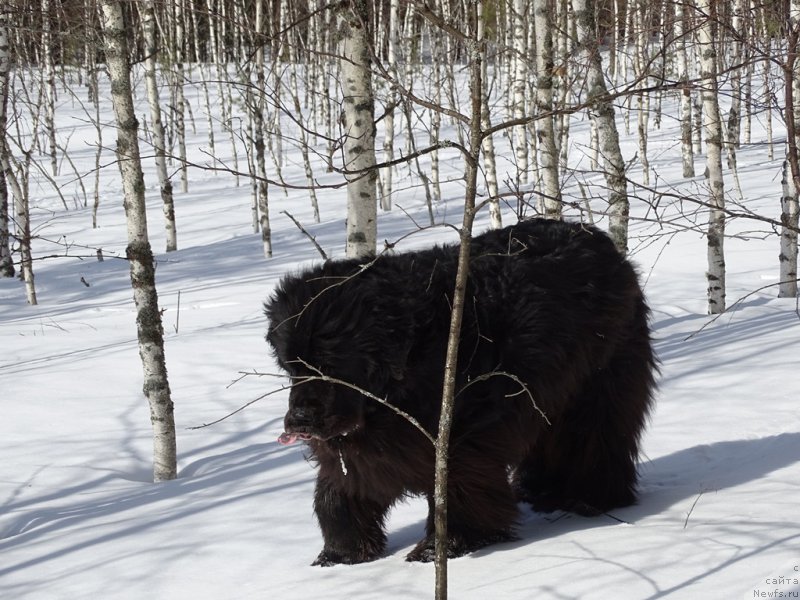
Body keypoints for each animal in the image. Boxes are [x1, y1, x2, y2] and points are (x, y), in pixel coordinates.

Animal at [268, 218, 656, 564]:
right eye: (292, 369)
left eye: (331, 368)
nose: (299, 419)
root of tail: (604, 244)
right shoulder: (360, 451)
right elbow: (335, 492)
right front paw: (340, 554)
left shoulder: (462, 436)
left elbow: (457, 488)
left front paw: (443, 547)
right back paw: (539, 490)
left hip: (595, 384)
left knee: (595, 437)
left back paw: (593, 498)